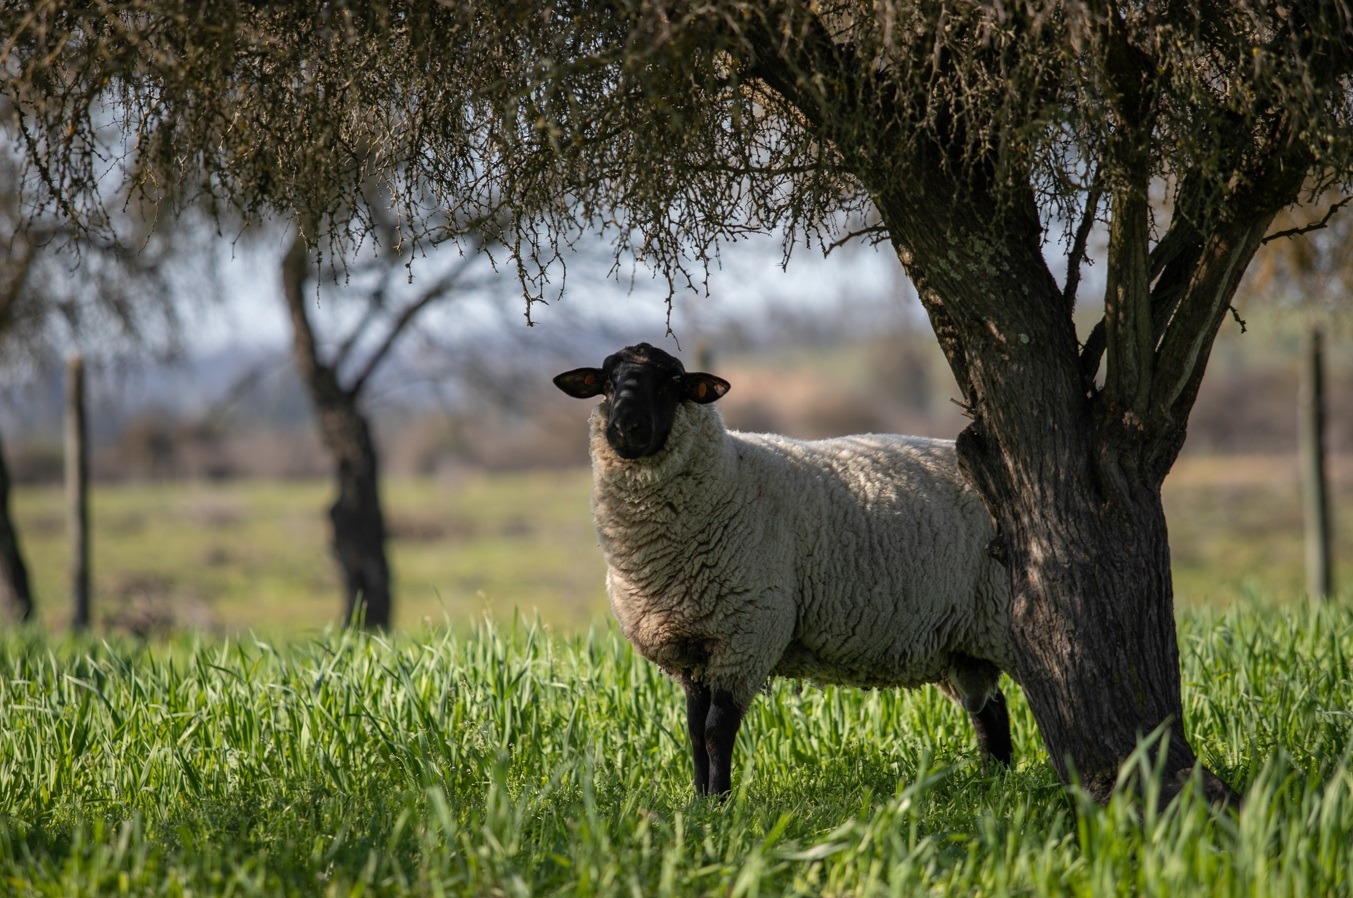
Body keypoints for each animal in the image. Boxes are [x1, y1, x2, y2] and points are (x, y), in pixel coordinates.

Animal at [552, 342, 1017, 795]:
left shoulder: (745, 637)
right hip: (964, 642)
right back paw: (994, 782)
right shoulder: (691, 651)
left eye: (672, 384)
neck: (727, 476)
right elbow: (694, 732)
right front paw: (699, 798)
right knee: (991, 712)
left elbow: (716, 731)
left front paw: (720, 800)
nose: (625, 428)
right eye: (607, 383)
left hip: (999, 618)